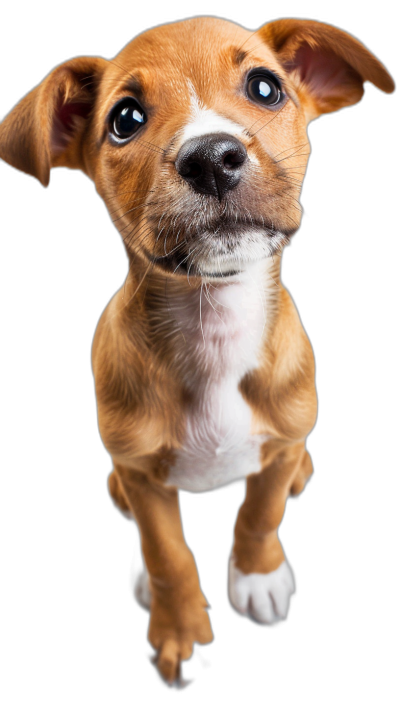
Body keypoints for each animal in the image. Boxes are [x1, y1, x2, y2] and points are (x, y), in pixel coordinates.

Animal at [0, 15, 394, 684]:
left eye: (265, 87)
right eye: (126, 118)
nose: (211, 157)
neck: (216, 326)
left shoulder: (279, 441)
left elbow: (259, 517)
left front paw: (257, 577)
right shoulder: (141, 470)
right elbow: (167, 554)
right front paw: (178, 626)